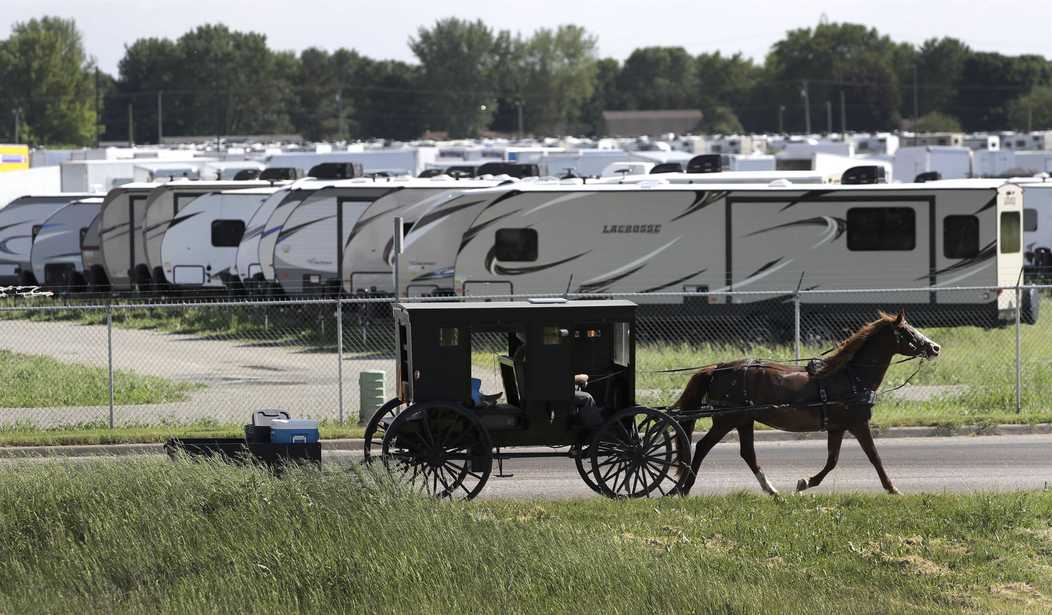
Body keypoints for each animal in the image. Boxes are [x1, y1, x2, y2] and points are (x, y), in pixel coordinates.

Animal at [677, 309, 942, 496]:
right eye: (908, 332)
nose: (935, 347)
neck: (850, 376)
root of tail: (718, 368)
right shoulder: (857, 423)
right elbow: (874, 456)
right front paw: (893, 489)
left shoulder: (837, 427)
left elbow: (832, 461)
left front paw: (805, 482)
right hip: (727, 419)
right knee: (703, 447)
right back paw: (684, 487)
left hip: (744, 420)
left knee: (748, 454)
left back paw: (771, 490)